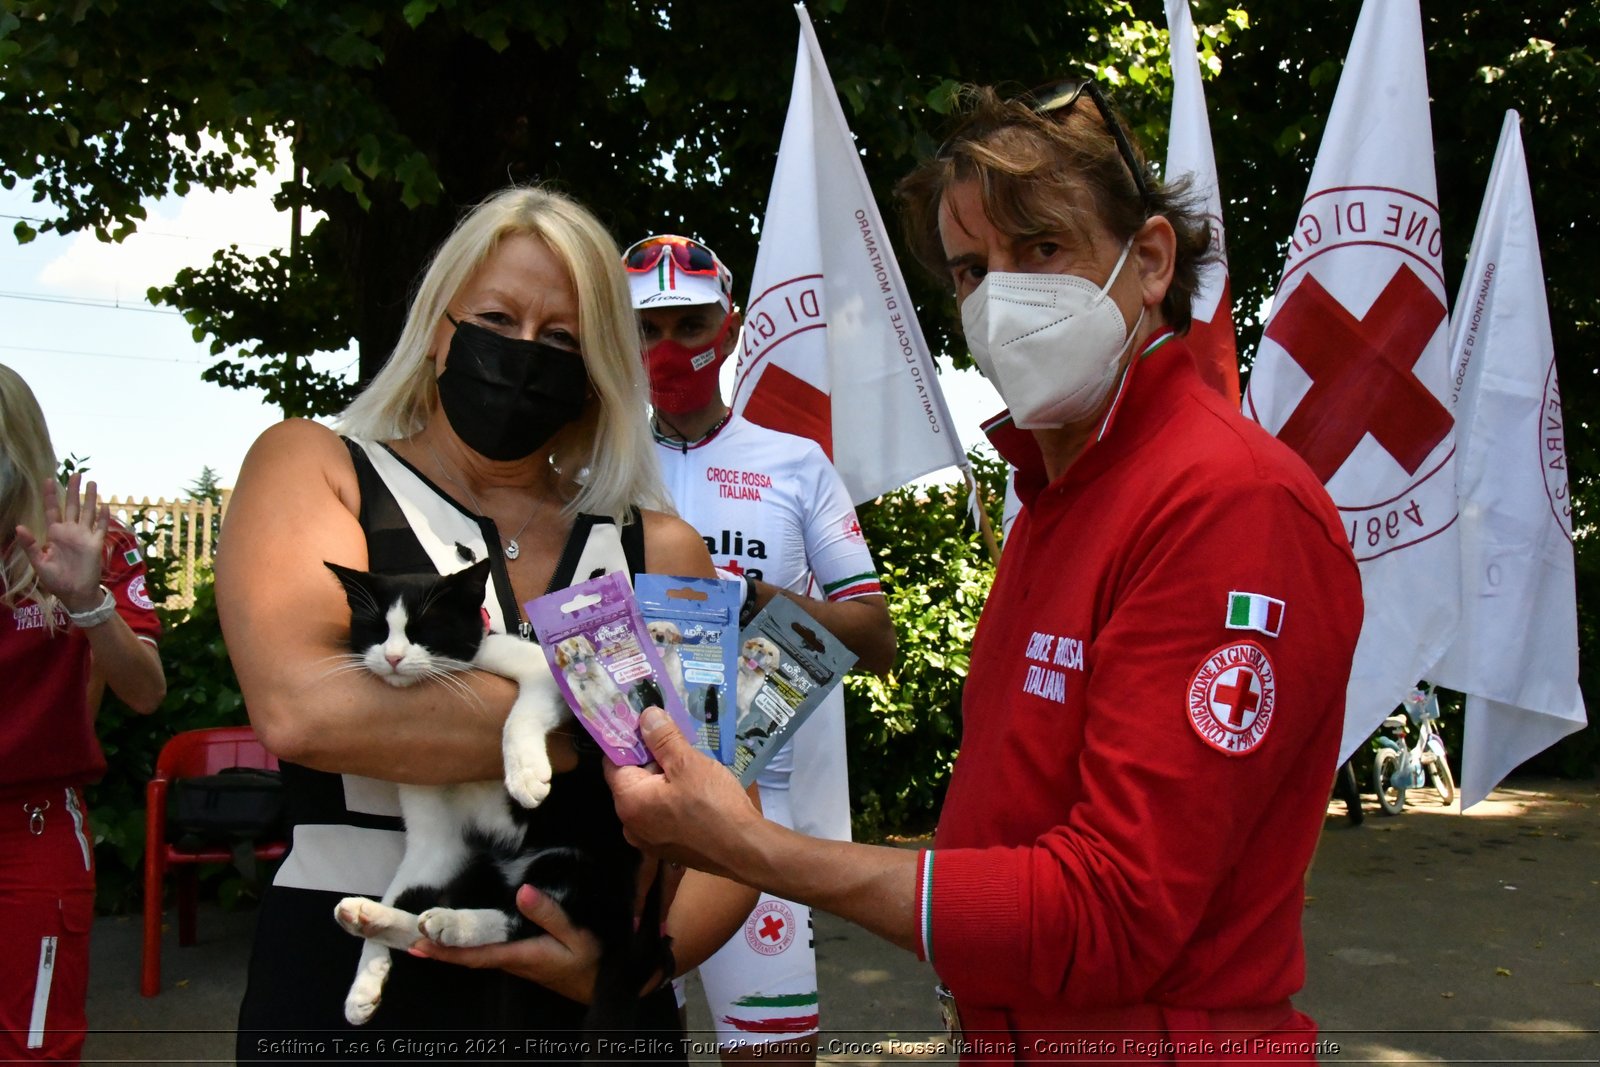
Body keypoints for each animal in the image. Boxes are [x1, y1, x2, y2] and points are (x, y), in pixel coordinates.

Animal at [321, 563, 672, 1030]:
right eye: (377, 629)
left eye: (424, 628)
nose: (393, 657)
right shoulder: (435, 838)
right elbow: (410, 875)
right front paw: (367, 976)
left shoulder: (542, 671)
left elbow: (520, 714)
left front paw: (525, 774)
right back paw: (373, 918)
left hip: (577, 862)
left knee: (527, 920)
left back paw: (453, 925)